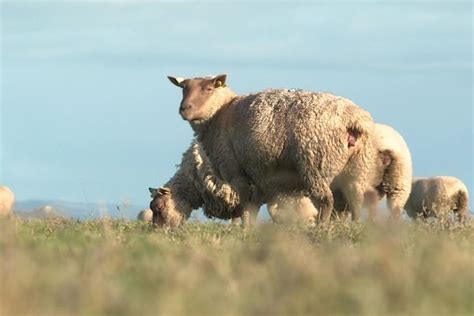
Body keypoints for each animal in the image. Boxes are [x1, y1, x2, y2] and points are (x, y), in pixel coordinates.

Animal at [167, 74, 378, 227]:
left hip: (315, 163)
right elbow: (252, 206)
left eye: (209, 89)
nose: (183, 108)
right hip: (356, 166)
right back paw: (353, 227)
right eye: (183, 89)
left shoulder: (237, 172)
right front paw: (250, 228)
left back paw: (321, 228)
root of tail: (352, 119)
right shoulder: (261, 177)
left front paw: (244, 229)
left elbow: (243, 206)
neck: (220, 114)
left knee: (326, 200)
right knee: (355, 199)